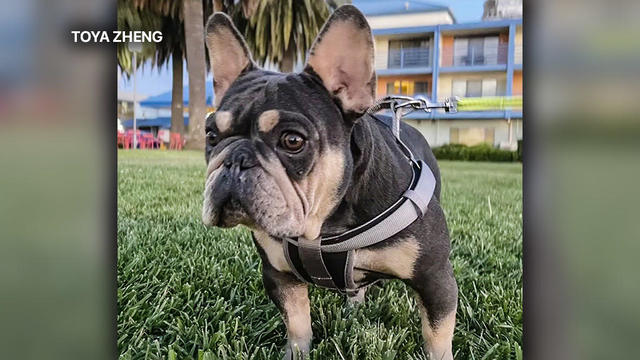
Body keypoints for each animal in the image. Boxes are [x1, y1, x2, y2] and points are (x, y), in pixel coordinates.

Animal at [202, 6, 458, 360]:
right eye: (211, 135)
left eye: (292, 140)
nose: (236, 159)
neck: (324, 224)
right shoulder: (278, 274)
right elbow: (296, 320)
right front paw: (296, 352)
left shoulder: (435, 279)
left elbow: (437, 335)